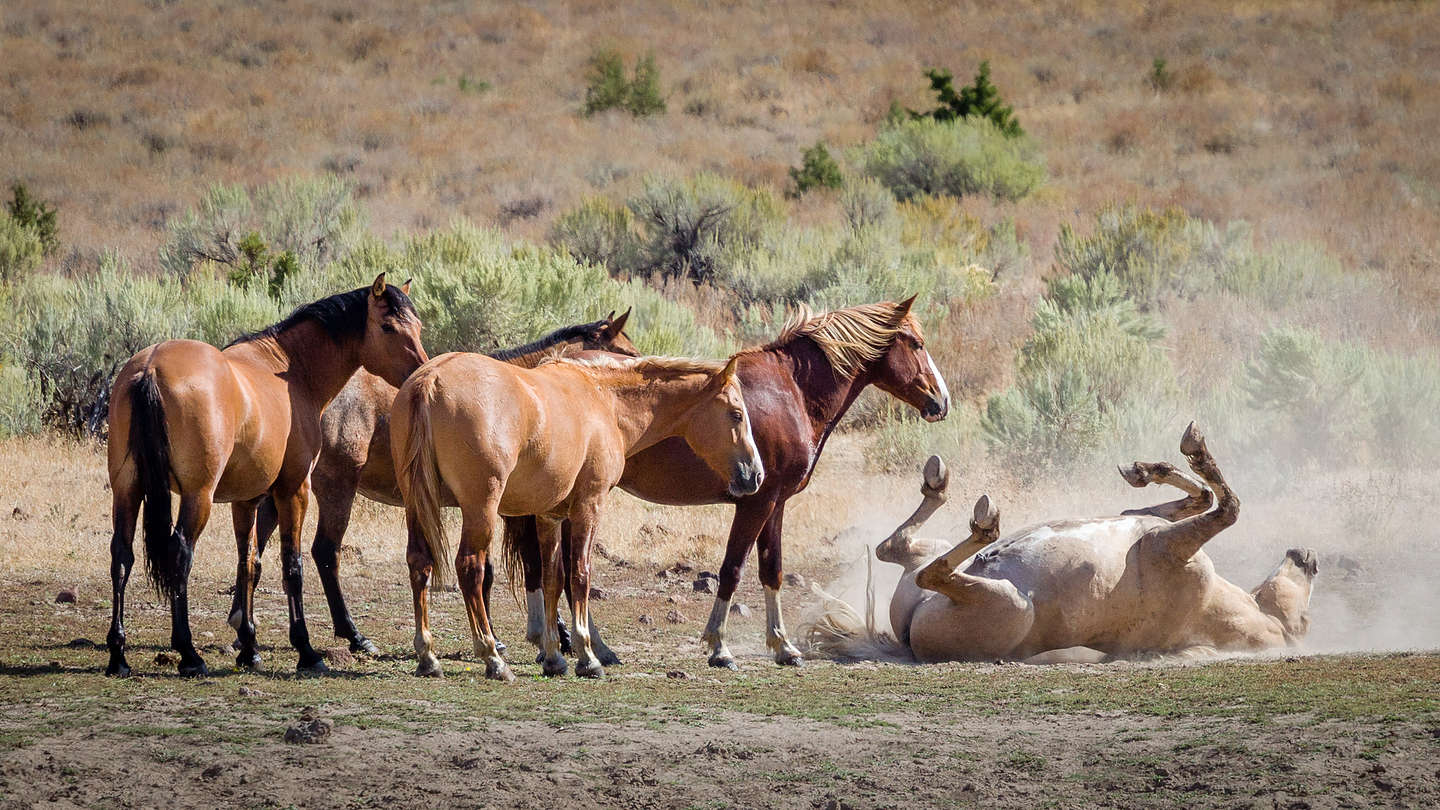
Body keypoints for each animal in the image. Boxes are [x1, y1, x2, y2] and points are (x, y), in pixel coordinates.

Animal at [104, 272, 423, 674]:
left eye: (417, 326)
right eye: (388, 326)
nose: (422, 371)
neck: (291, 370)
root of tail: (150, 367)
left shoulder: (247, 499)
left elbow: (248, 561)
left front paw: (249, 646)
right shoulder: (294, 489)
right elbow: (292, 565)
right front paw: (306, 651)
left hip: (128, 490)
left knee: (121, 556)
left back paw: (118, 655)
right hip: (199, 496)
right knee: (181, 553)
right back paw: (189, 653)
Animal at [228, 308, 636, 657]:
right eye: (627, 352)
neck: (530, 396)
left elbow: (498, 570)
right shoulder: (520, 511)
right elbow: (539, 568)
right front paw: (554, 638)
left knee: (256, 547)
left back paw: (242, 626)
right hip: (335, 486)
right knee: (325, 553)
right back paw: (353, 635)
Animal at [383, 350, 766, 677]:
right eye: (736, 414)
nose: (756, 474)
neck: (604, 401)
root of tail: (430, 380)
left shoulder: (550, 516)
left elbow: (553, 578)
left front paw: (554, 657)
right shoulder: (589, 506)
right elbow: (580, 575)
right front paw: (587, 657)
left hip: (417, 505)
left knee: (420, 564)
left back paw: (428, 657)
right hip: (481, 510)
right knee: (470, 569)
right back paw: (492, 658)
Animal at [506, 292, 956, 665]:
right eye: (917, 344)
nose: (941, 400)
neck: (790, 391)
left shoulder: (776, 503)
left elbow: (771, 570)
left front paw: (783, 646)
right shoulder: (756, 502)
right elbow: (733, 569)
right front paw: (719, 647)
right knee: (566, 571)